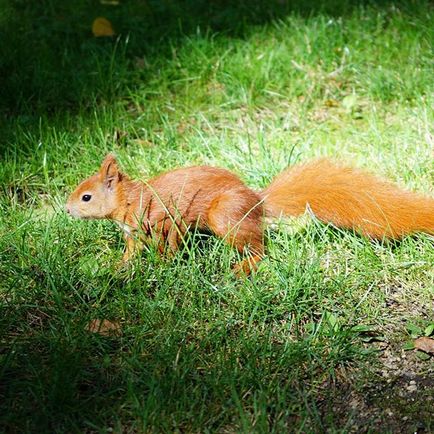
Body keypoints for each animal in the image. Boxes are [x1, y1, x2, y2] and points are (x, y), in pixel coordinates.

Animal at [66, 153, 434, 274]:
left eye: (86, 197)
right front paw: (118, 268)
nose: (67, 209)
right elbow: (130, 253)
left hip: (223, 216)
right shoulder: (131, 234)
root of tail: (257, 201)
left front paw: (164, 266)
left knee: (258, 248)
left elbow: (171, 245)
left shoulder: (164, 220)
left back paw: (242, 268)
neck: (127, 201)